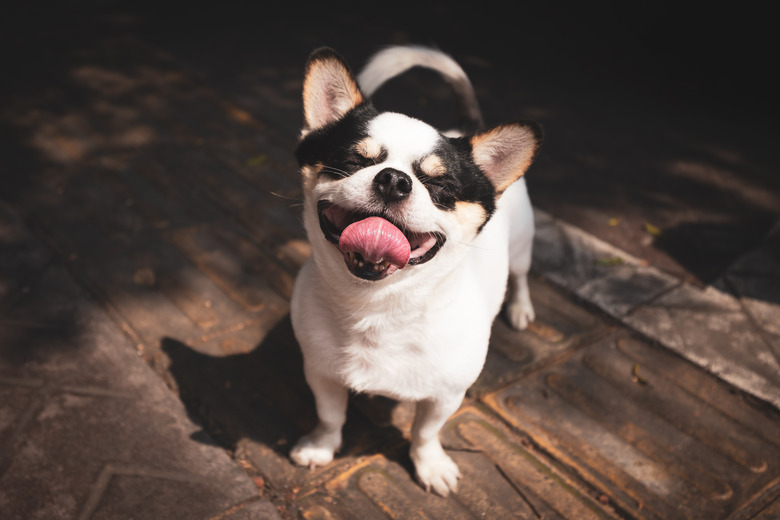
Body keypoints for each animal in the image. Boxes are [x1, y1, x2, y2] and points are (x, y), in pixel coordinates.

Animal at [288, 45, 544, 496]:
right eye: (351, 162)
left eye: (440, 188)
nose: (393, 179)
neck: (378, 308)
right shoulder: (321, 373)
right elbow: (330, 415)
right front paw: (321, 446)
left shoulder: (446, 396)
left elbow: (426, 432)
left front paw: (430, 466)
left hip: (520, 248)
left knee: (520, 276)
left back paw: (519, 308)